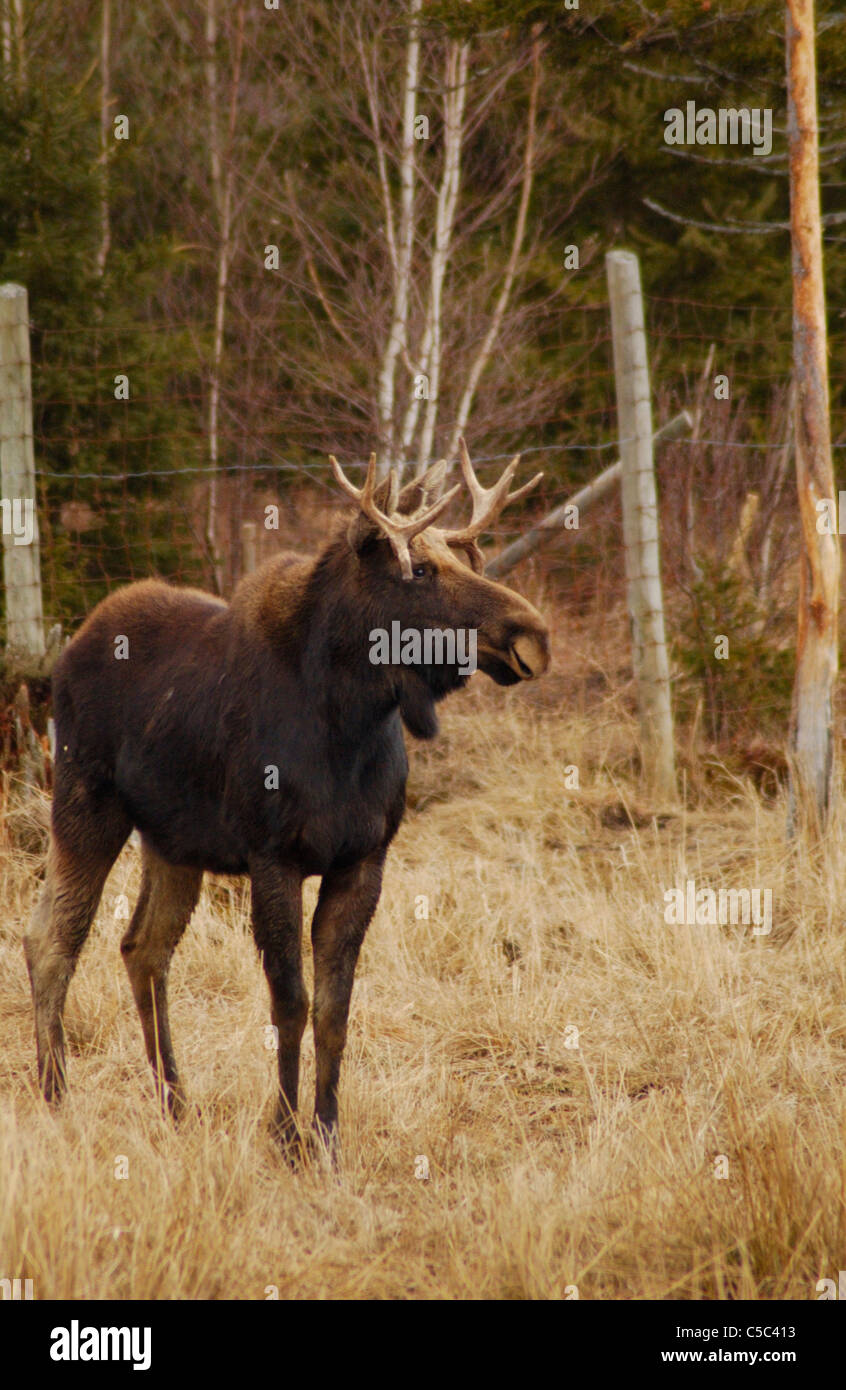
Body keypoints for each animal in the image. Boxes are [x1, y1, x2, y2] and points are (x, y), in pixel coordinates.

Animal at [24, 440, 550, 1160]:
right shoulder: (274, 859)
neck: (349, 726)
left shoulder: (362, 862)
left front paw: (326, 1135)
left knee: (142, 949)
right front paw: (284, 1137)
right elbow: (291, 1004)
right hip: (85, 807)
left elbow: (334, 1010)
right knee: (50, 940)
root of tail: (69, 648)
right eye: (418, 570)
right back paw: (56, 1101)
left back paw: (176, 1105)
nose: (532, 634)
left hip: (172, 842)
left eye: (468, 561)